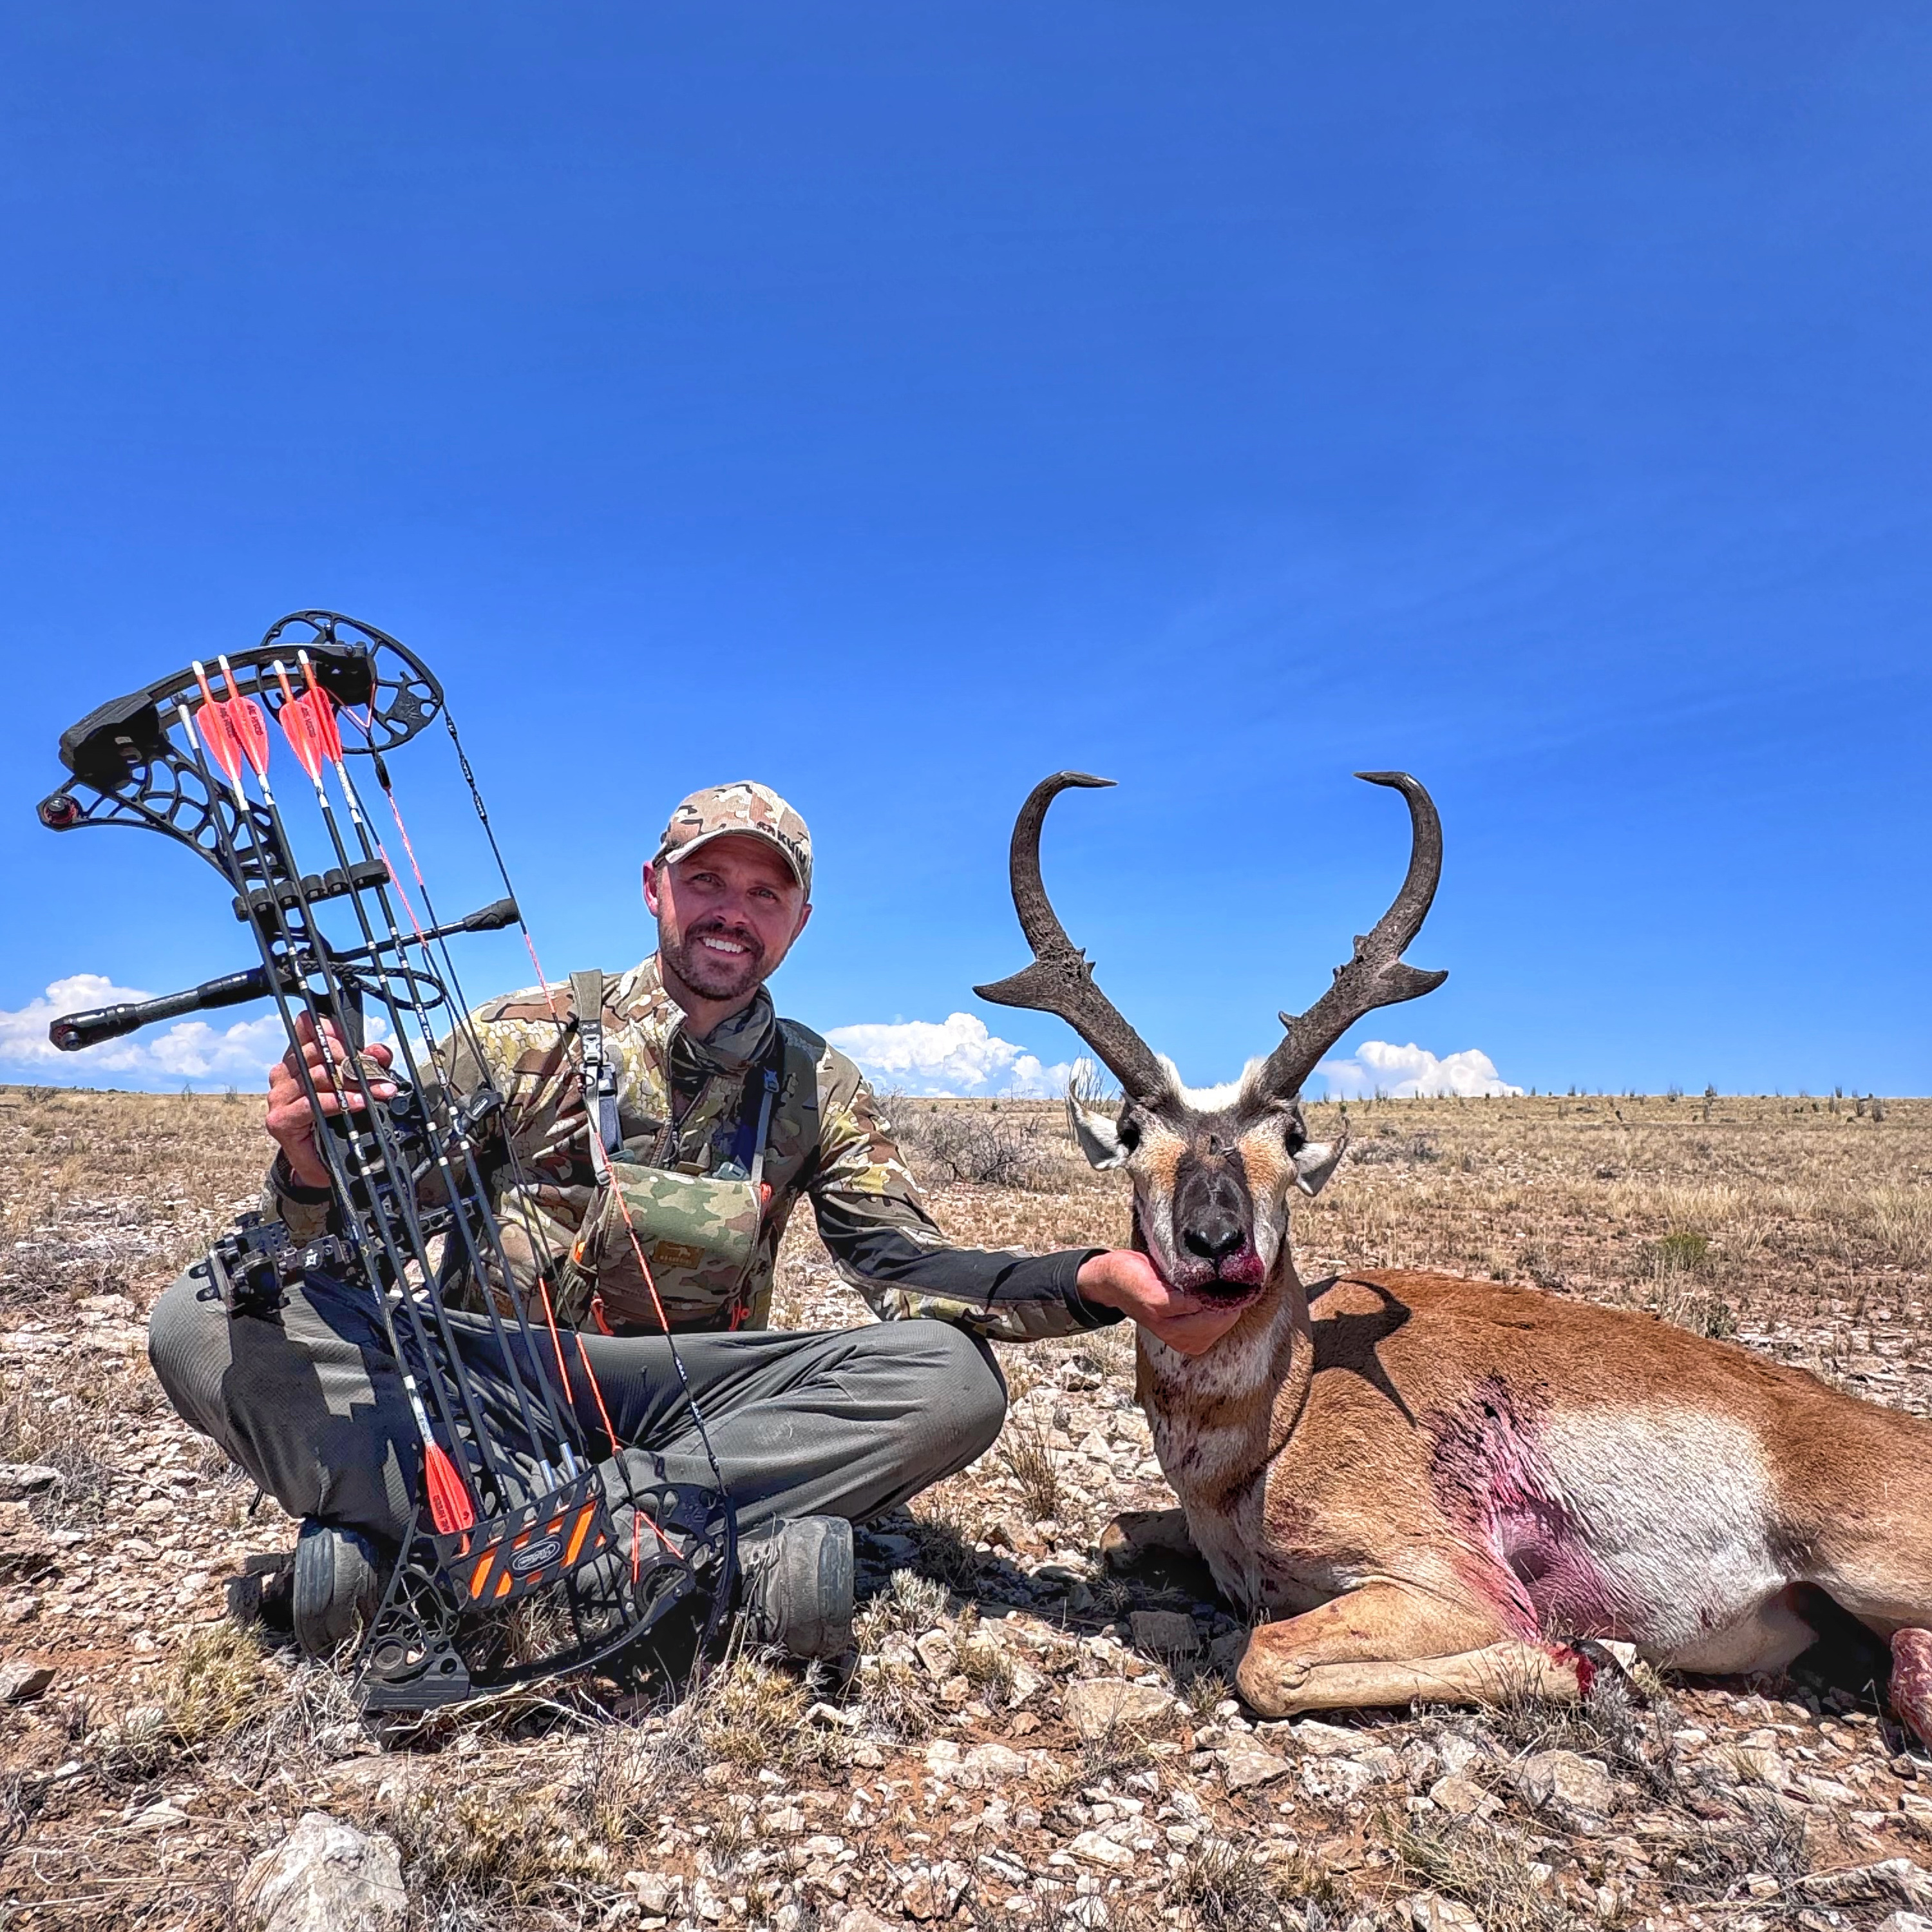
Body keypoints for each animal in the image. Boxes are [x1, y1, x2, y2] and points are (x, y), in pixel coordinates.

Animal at [977, 770, 1932, 1738]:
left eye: (1293, 1136)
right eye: (1135, 1135)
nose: (1218, 1245)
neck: (1289, 1408)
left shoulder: (1448, 1588)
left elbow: (1266, 1660)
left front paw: (1586, 1663)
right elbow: (1115, 1534)